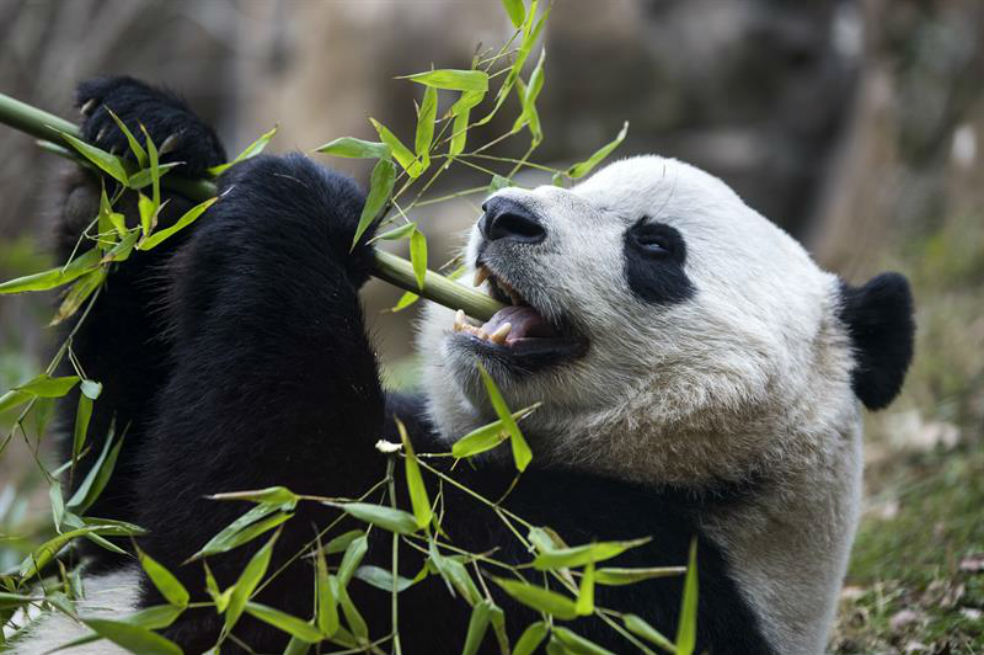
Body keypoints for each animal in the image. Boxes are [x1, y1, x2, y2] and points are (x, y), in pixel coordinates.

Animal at [12, 76, 914, 655]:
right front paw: (148, 149)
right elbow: (110, 487)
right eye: (576, 182)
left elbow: (267, 553)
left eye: (656, 245)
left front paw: (304, 205)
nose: (503, 212)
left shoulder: (602, 578)